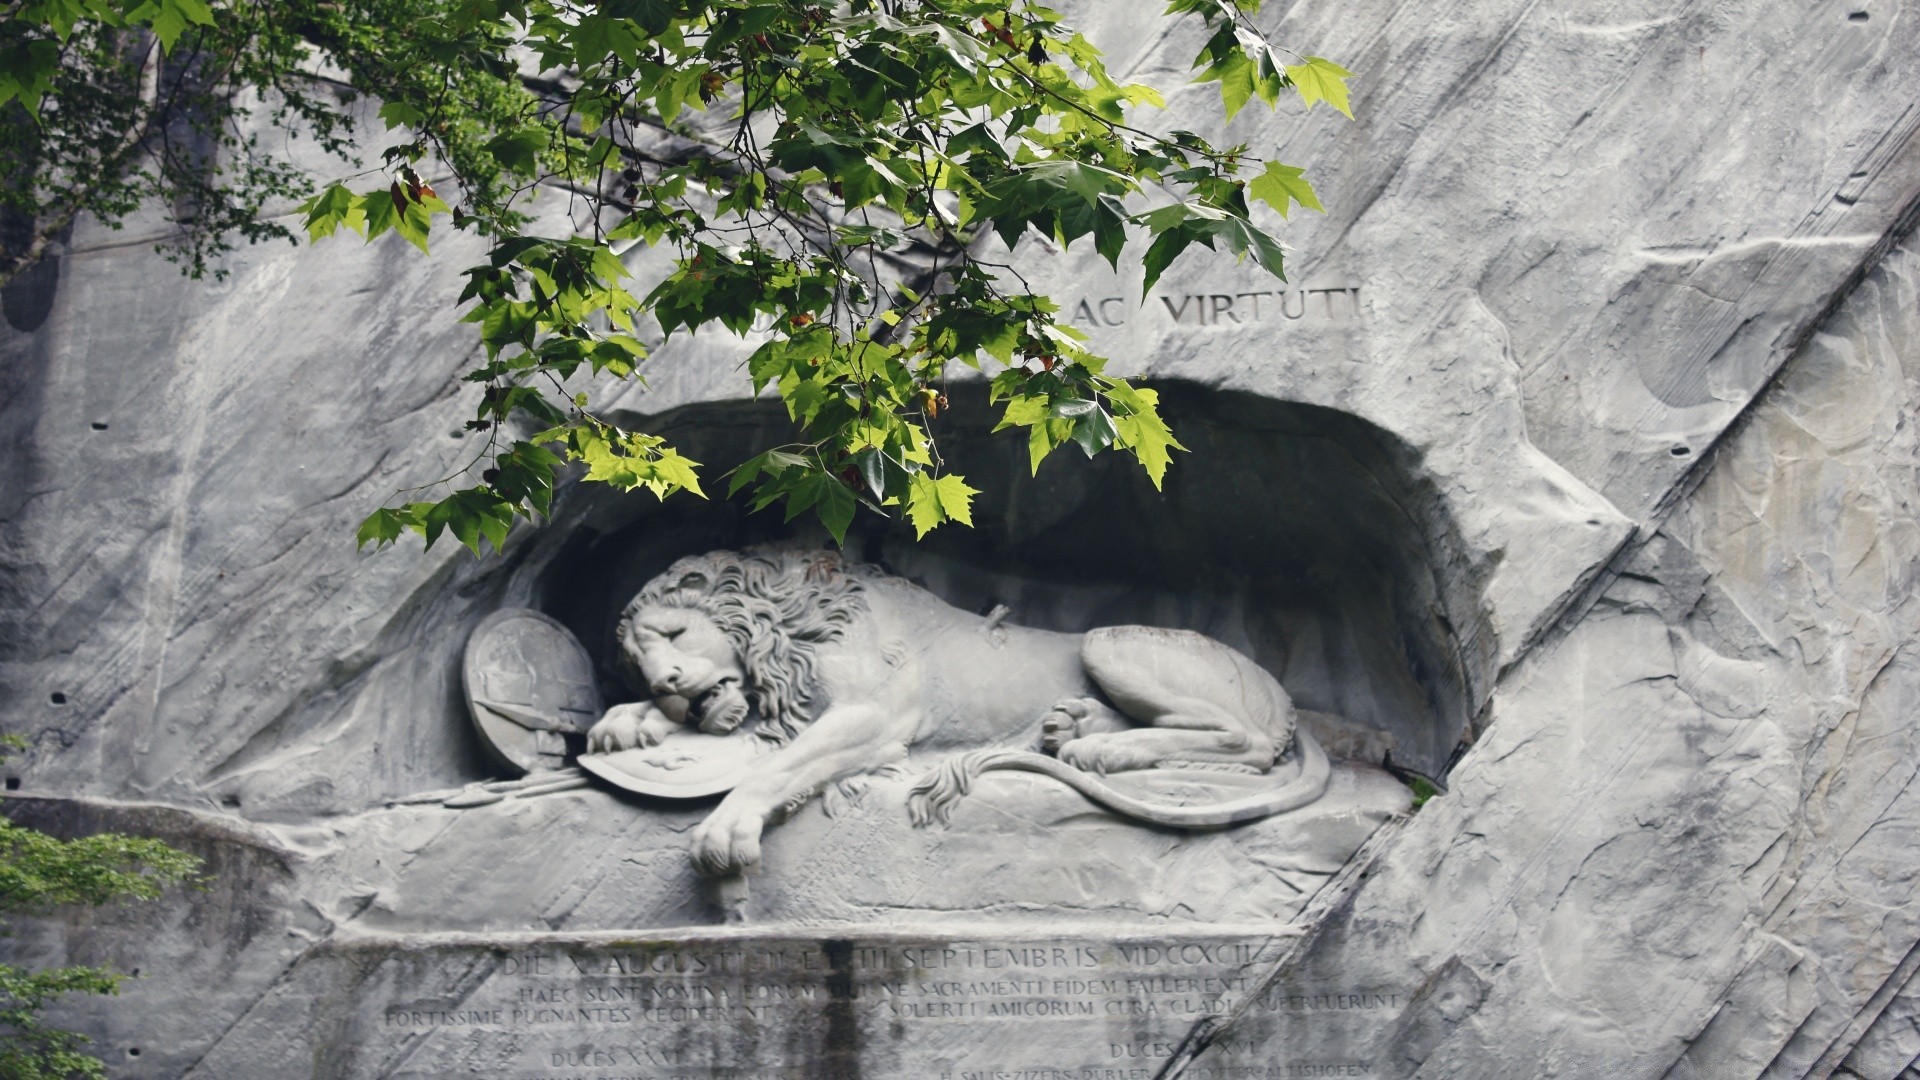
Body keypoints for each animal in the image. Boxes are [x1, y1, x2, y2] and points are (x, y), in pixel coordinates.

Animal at [583, 545, 1328, 876]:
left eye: (675, 634)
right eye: (642, 665)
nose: (669, 681)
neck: (792, 631)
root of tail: (1283, 696)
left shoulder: (873, 715)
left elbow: (780, 765)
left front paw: (726, 826)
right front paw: (625, 721)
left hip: (1110, 640)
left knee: (1244, 741)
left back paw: (1102, 748)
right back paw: (1074, 726)